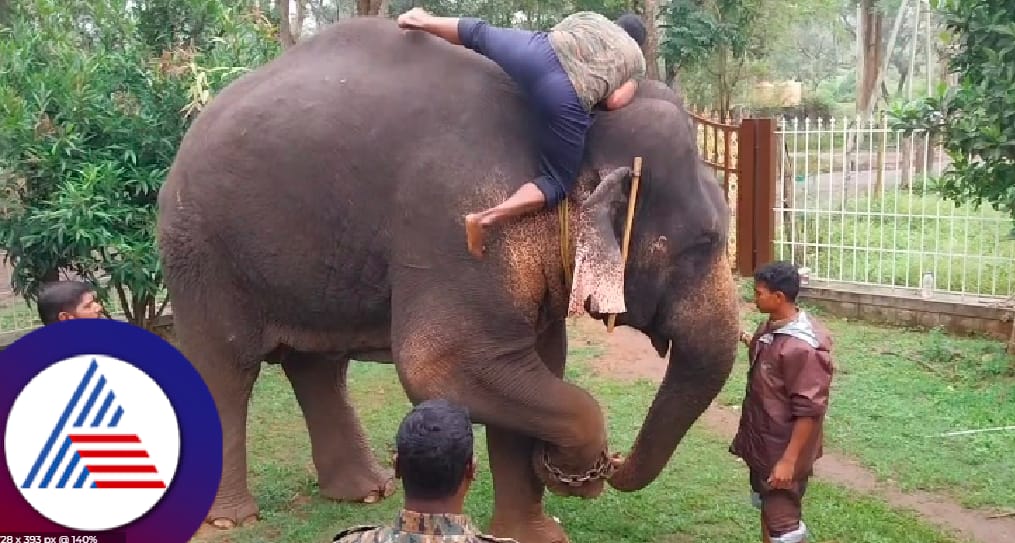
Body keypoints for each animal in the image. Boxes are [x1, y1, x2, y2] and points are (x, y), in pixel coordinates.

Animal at [154, 14, 734, 543]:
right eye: (703, 244)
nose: (611, 464)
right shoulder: (456, 223)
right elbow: (445, 364)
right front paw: (574, 471)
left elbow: (534, 365)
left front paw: (537, 532)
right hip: (200, 253)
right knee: (226, 366)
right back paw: (229, 518)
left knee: (317, 366)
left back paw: (367, 491)